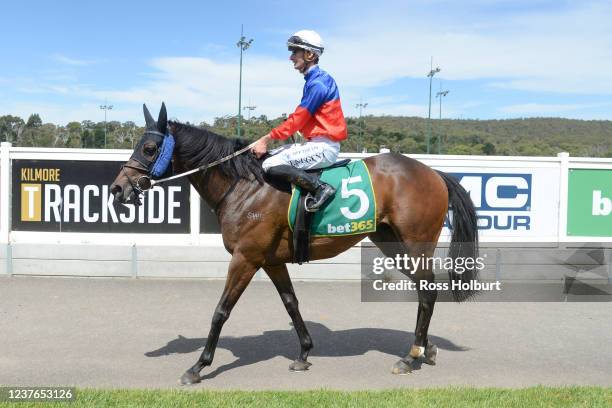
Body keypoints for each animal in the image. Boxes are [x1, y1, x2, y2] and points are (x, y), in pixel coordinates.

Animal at [112, 103, 480, 384]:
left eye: (148, 148)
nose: (118, 188)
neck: (244, 185)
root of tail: (434, 173)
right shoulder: (271, 261)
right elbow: (291, 303)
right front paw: (303, 352)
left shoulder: (245, 258)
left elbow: (221, 311)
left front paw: (198, 366)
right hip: (392, 243)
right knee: (425, 290)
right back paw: (425, 349)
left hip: (414, 244)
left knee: (428, 291)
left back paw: (411, 355)